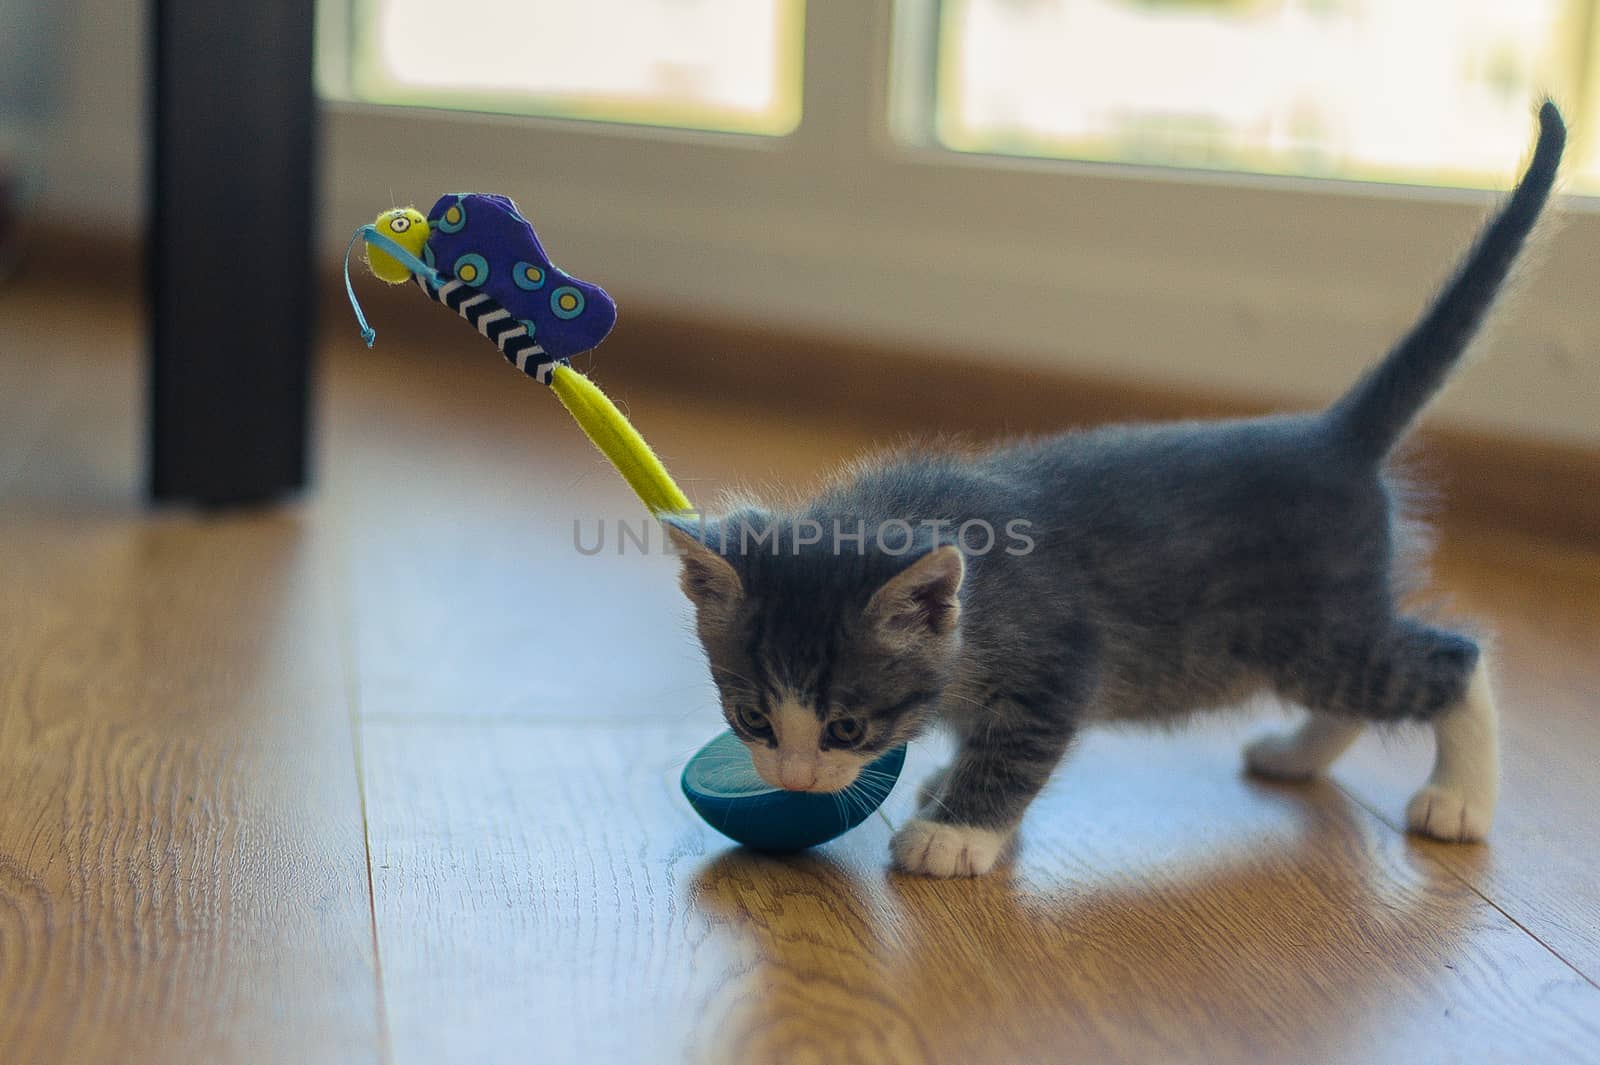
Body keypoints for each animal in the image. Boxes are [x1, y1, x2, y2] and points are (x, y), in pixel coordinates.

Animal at [662, 103, 1561, 876]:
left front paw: (958, 831)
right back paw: (1296, 754)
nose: (795, 778)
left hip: (1314, 633)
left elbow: (1017, 748)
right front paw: (950, 783)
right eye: (752, 717)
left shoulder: (1061, 660)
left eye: (847, 725)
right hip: (1313, 637)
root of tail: (1333, 436)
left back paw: (1457, 799)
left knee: (1452, 660)